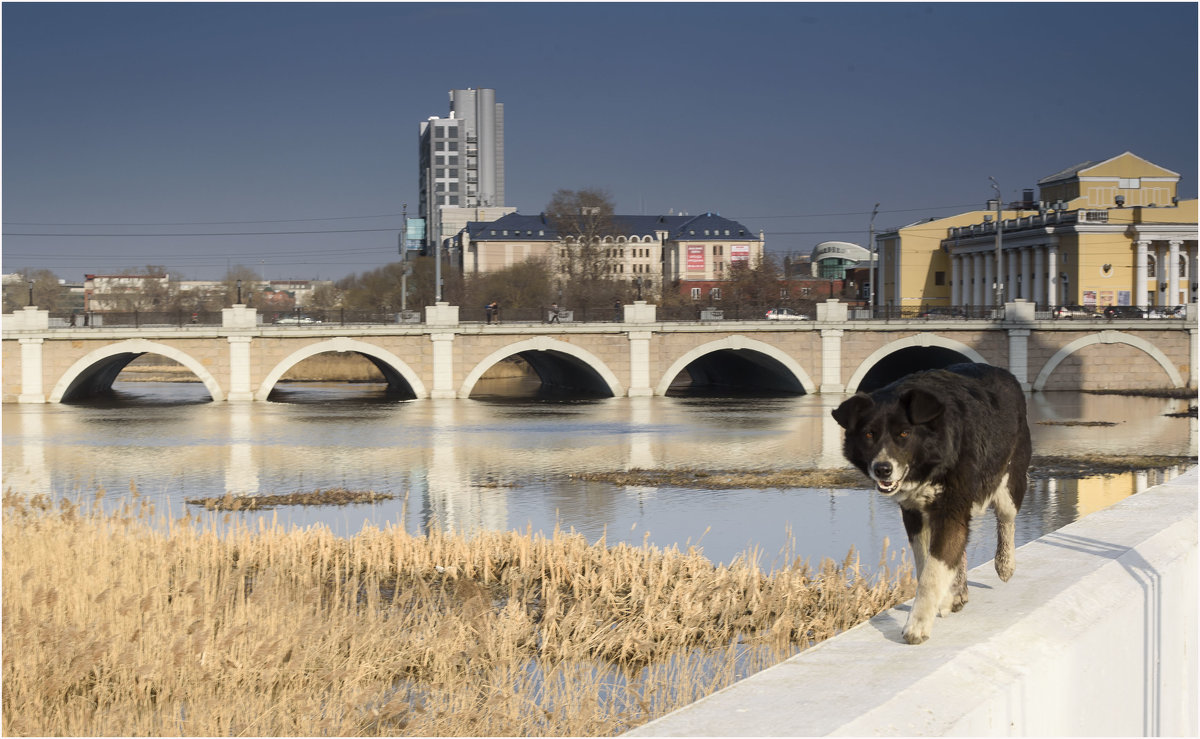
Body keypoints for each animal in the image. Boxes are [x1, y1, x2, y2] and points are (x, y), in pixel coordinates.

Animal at [835, 364, 1032, 647]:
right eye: (869, 434)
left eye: (904, 433)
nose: (882, 469)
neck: (932, 461)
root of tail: (1005, 372)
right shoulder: (915, 514)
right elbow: (928, 563)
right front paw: (945, 598)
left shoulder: (950, 509)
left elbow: (932, 572)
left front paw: (917, 625)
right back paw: (957, 591)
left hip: (1008, 481)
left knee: (1006, 519)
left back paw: (1005, 564)